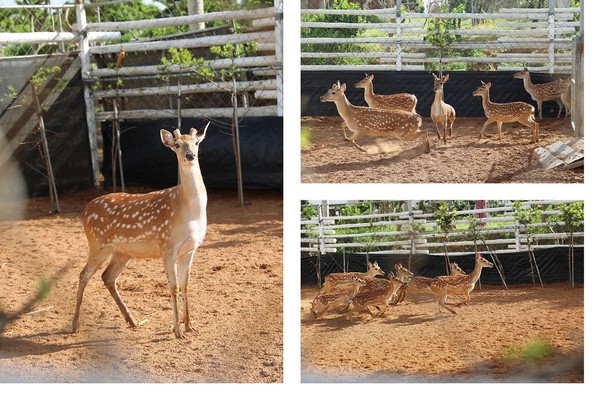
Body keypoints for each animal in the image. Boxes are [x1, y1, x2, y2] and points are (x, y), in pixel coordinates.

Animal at [72, 123, 211, 340]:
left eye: (196, 142)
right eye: (177, 144)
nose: (190, 155)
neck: (188, 210)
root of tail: (86, 210)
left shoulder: (190, 249)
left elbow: (186, 285)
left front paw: (189, 326)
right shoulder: (167, 245)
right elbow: (173, 287)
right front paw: (177, 330)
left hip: (122, 252)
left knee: (107, 276)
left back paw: (132, 320)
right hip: (97, 243)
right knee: (84, 274)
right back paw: (75, 324)